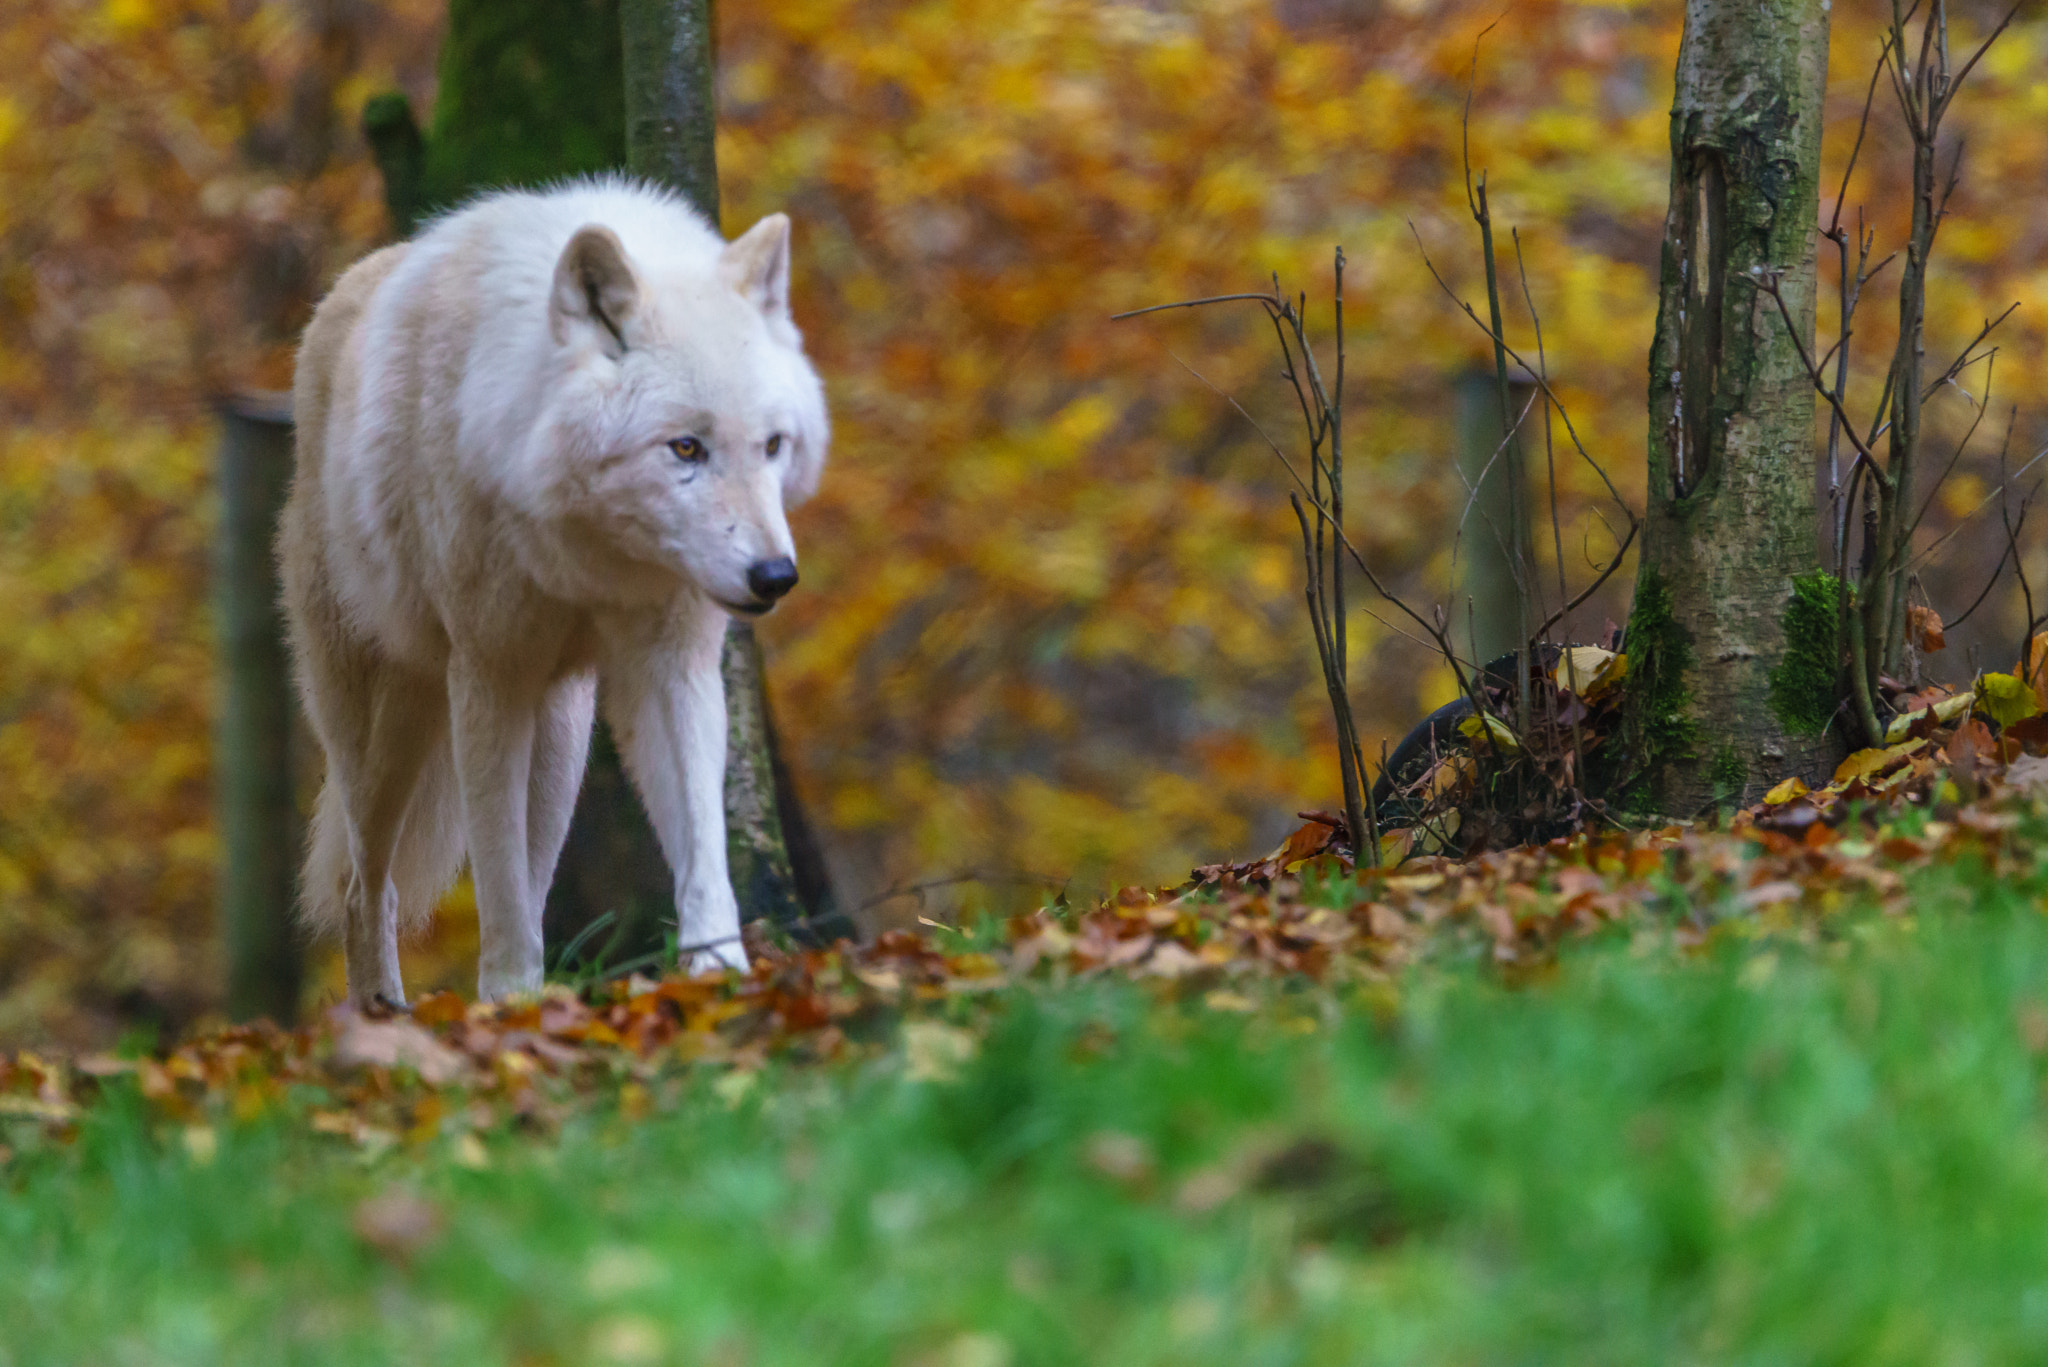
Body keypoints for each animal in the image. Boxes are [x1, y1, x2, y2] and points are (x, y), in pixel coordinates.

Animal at [280, 176, 823, 1004]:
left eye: (772, 445)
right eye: (685, 448)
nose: (775, 576)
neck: (590, 554)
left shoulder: (673, 666)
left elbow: (701, 847)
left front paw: (717, 973)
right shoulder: (490, 677)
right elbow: (497, 882)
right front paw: (507, 999)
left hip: (562, 727)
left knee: (531, 870)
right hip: (386, 735)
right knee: (363, 885)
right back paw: (381, 1010)